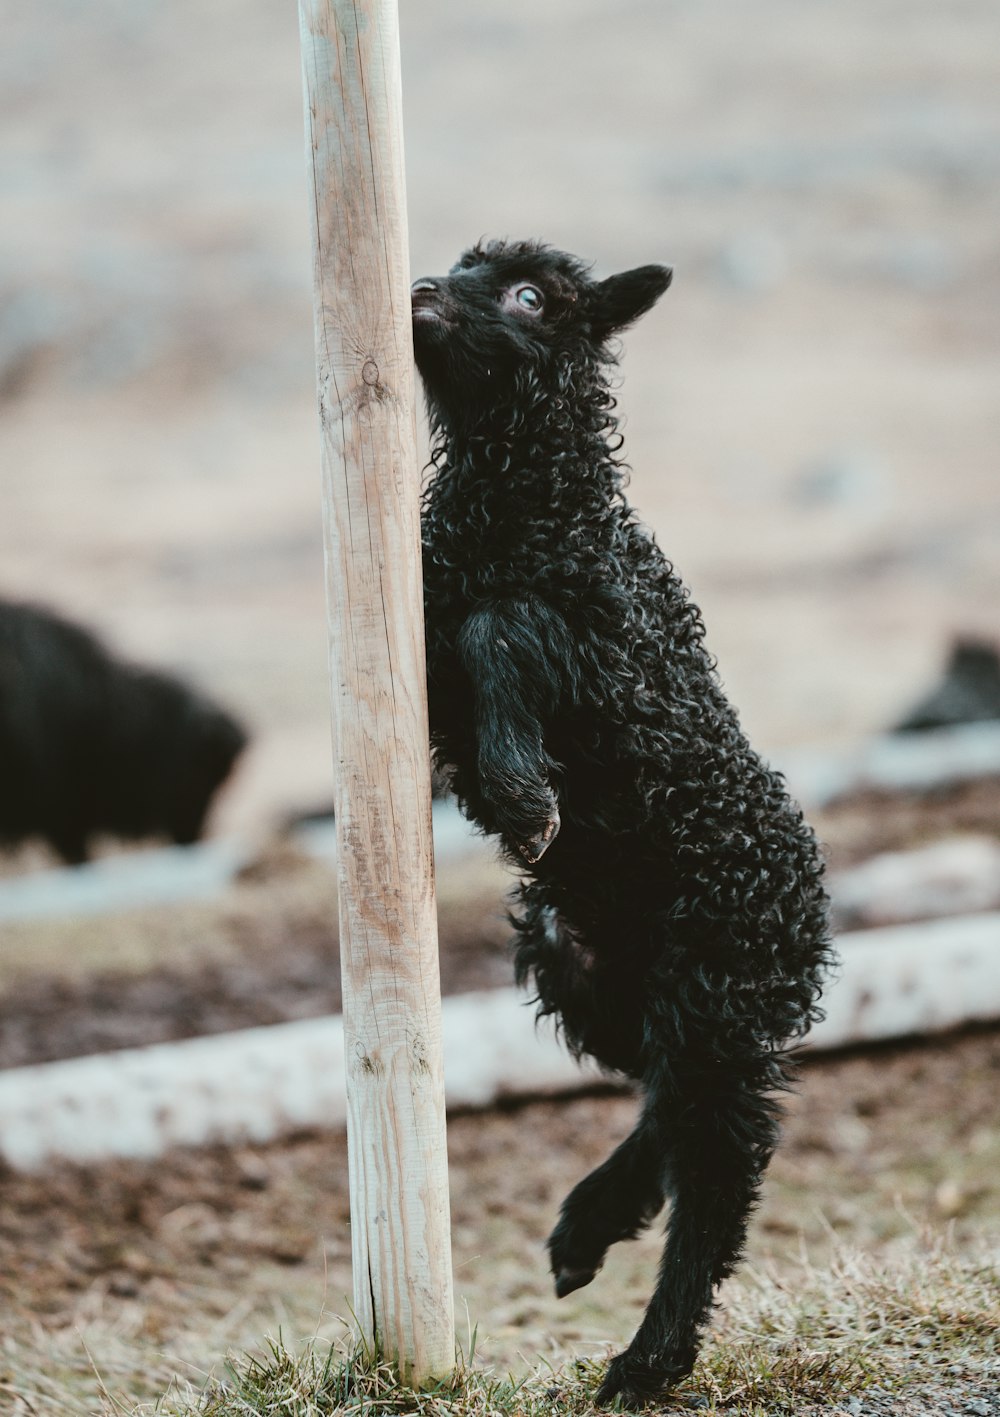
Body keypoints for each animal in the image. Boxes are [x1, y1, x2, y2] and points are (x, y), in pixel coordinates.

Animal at [407, 238, 827, 1399]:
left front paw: (522, 797)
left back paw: (647, 1358)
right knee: (664, 1102)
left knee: (719, 1164)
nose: (418, 292)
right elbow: (471, 631)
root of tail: (808, 914)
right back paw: (586, 1229)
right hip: (592, 970)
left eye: (529, 295)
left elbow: (503, 626)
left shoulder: (604, 653)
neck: (533, 504)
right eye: (462, 260)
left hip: (716, 988)